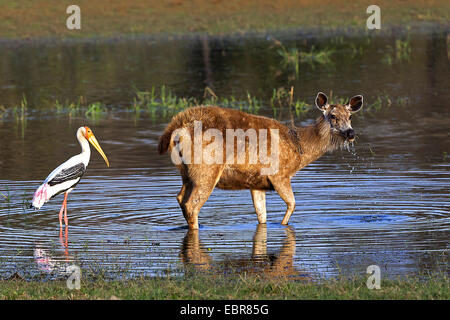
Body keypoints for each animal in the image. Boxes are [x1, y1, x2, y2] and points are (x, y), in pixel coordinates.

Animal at [158, 91, 362, 229]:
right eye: (333, 116)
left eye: (350, 116)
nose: (351, 133)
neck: (298, 147)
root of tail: (176, 127)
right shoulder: (280, 174)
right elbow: (292, 204)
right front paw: (283, 226)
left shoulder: (256, 183)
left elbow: (261, 215)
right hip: (206, 169)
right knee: (192, 205)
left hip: (187, 172)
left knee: (180, 198)